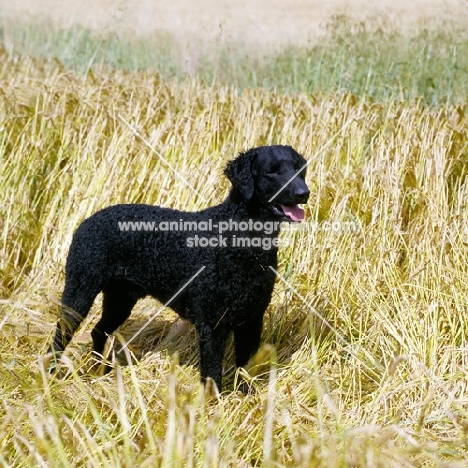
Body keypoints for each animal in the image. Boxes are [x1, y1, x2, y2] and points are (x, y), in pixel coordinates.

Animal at [48, 145, 310, 392]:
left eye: (299, 168)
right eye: (271, 171)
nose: (304, 193)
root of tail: (87, 220)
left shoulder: (252, 319)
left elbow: (246, 369)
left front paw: (246, 399)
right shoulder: (212, 325)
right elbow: (212, 375)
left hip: (120, 299)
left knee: (98, 331)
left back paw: (100, 371)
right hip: (79, 293)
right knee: (60, 337)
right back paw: (50, 376)